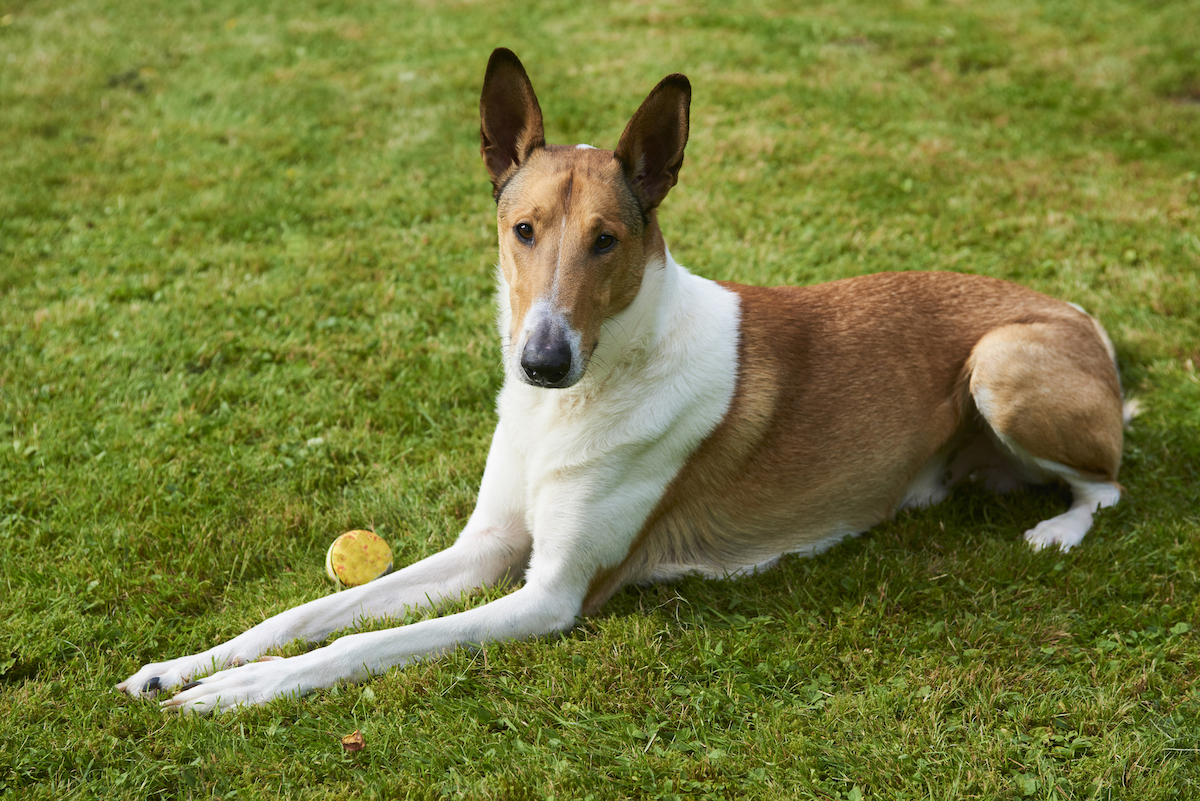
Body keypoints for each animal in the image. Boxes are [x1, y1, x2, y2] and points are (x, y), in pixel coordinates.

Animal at [117, 48, 1128, 714]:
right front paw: (188, 665)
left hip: (1001, 364)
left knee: (1109, 485)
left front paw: (238, 692)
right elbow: (316, 609)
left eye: (608, 240)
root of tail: (1080, 314)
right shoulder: (487, 548)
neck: (577, 402)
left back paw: (1058, 530)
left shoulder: (550, 594)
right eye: (522, 229)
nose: (541, 361)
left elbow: (364, 641)